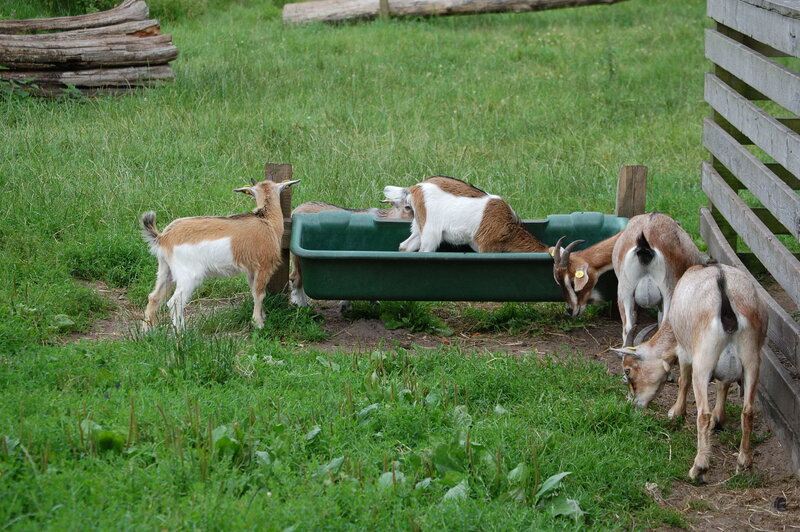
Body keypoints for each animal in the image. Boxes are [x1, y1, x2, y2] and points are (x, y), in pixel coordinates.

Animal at [140, 178, 300, 330]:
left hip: (165, 271)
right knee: (175, 302)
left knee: (154, 297)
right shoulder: (263, 266)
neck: (267, 221)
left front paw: (262, 316)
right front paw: (258, 323)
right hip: (189, 275)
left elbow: (254, 292)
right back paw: (182, 333)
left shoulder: (251, 270)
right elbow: (260, 294)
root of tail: (163, 237)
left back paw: (147, 332)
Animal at [383, 175, 548, 253]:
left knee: (405, 246)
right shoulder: (486, 246)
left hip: (418, 226)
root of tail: (415, 187)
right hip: (431, 232)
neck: (509, 226)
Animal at [614, 264, 768, 483]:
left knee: (703, 413)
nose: (635, 404)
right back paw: (744, 465)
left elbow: (683, 379)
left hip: (703, 362)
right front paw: (719, 419)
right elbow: (723, 384)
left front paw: (676, 412)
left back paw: (699, 469)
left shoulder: (685, 351)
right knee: (748, 412)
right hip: (752, 360)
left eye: (629, 371)